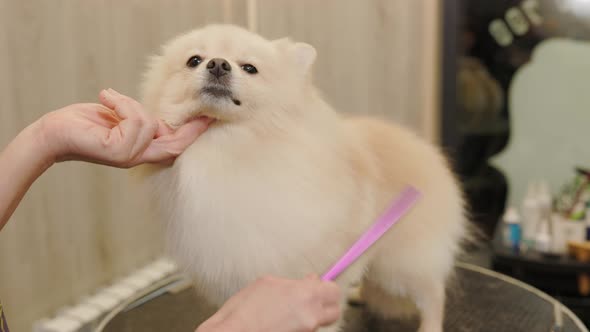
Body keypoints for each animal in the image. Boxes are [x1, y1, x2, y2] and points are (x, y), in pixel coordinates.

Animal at [139, 24, 472, 332]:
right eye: (194, 60)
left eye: (250, 68)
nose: (218, 64)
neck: (227, 145)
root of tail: (426, 150)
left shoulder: (311, 271)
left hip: (402, 261)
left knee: (433, 294)